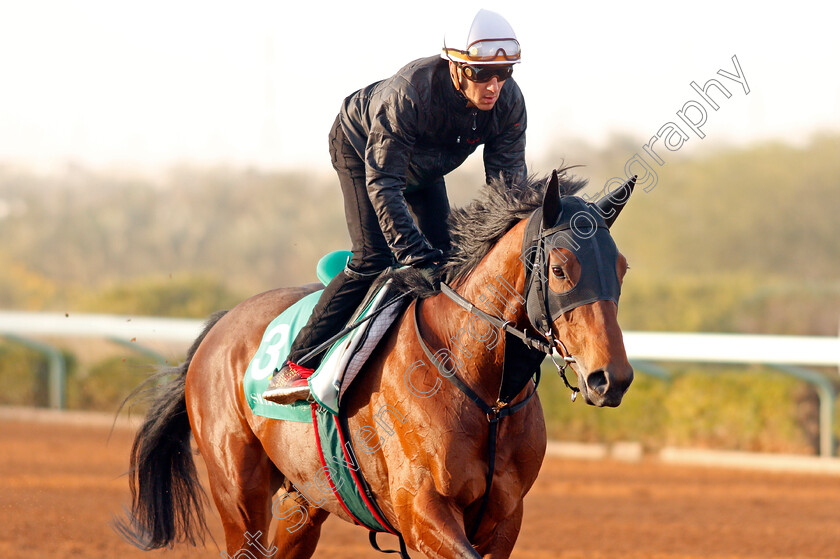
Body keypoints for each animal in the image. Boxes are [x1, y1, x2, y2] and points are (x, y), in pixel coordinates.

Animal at [116, 170, 632, 559]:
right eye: (560, 269)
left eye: (621, 268)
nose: (612, 379)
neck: (485, 392)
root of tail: (220, 325)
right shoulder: (422, 511)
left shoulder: (504, 517)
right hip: (238, 494)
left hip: (304, 497)